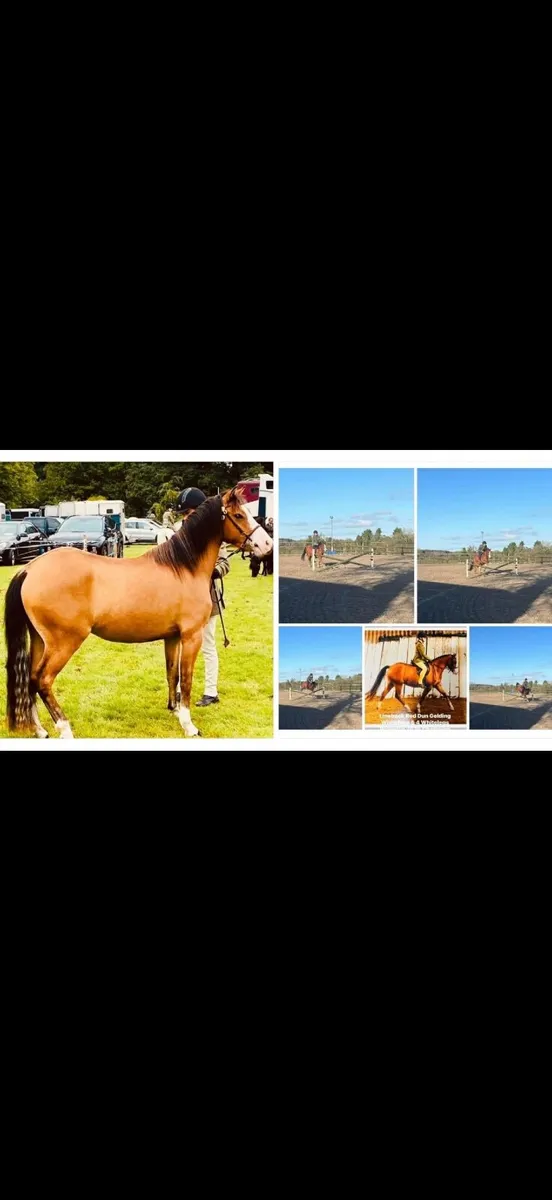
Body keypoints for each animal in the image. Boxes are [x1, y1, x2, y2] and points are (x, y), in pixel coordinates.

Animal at [4, 488, 273, 739]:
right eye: (239, 515)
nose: (267, 545)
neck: (183, 568)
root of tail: (30, 568)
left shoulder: (172, 637)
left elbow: (172, 674)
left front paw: (174, 710)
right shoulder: (191, 636)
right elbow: (186, 678)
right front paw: (189, 725)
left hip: (40, 640)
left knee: (30, 679)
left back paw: (40, 730)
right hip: (64, 642)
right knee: (43, 680)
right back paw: (64, 729)